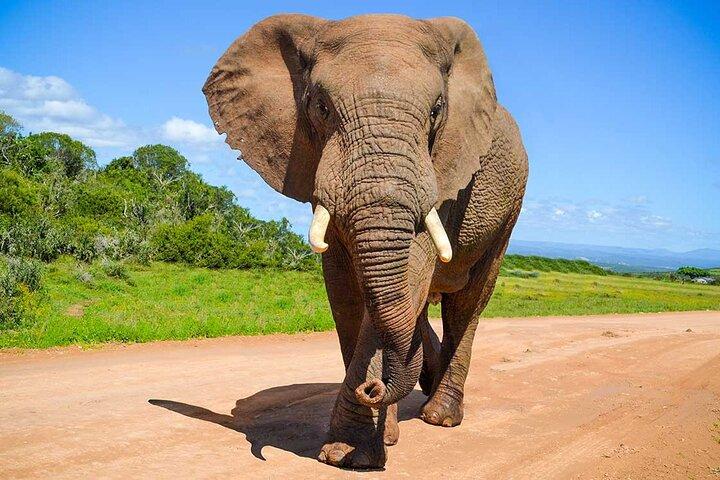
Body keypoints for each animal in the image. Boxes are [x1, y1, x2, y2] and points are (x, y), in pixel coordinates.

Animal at [203, 13, 528, 469]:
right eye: (321, 107)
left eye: (436, 110)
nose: (372, 390)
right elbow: (344, 288)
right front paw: (367, 442)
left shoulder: (446, 173)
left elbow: (409, 272)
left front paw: (351, 453)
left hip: (509, 208)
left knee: (467, 304)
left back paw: (440, 416)